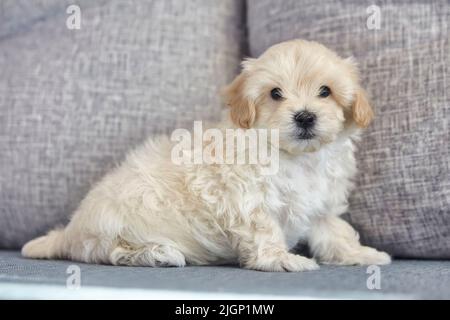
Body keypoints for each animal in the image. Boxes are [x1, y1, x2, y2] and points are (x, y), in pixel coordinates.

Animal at [22, 38, 390, 272]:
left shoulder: (321, 204)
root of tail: (71, 230)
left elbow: (334, 232)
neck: (295, 157)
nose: (304, 117)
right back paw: (157, 253)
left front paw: (360, 254)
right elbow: (265, 232)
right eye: (275, 94)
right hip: (116, 221)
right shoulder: (248, 200)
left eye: (325, 91)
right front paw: (281, 260)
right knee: (110, 252)